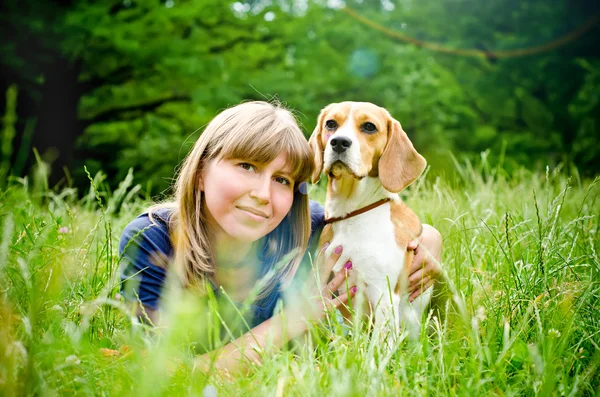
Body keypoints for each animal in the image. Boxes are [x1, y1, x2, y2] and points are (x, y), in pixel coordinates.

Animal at [310, 101, 432, 344]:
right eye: (331, 124)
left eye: (369, 127)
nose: (339, 142)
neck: (351, 215)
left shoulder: (383, 292)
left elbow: (378, 344)